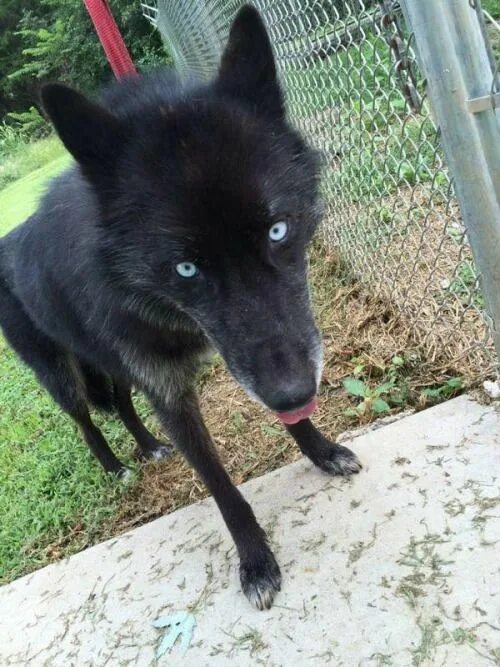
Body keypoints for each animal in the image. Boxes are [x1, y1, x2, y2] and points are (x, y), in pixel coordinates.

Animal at [0, 5, 360, 612]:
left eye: (278, 230)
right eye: (186, 269)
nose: (294, 392)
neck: (164, 310)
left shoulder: (242, 361)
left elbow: (287, 419)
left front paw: (321, 449)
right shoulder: (172, 393)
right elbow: (221, 486)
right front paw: (256, 563)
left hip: (113, 365)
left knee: (122, 403)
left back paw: (147, 447)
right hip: (62, 375)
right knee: (85, 420)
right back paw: (117, 467)